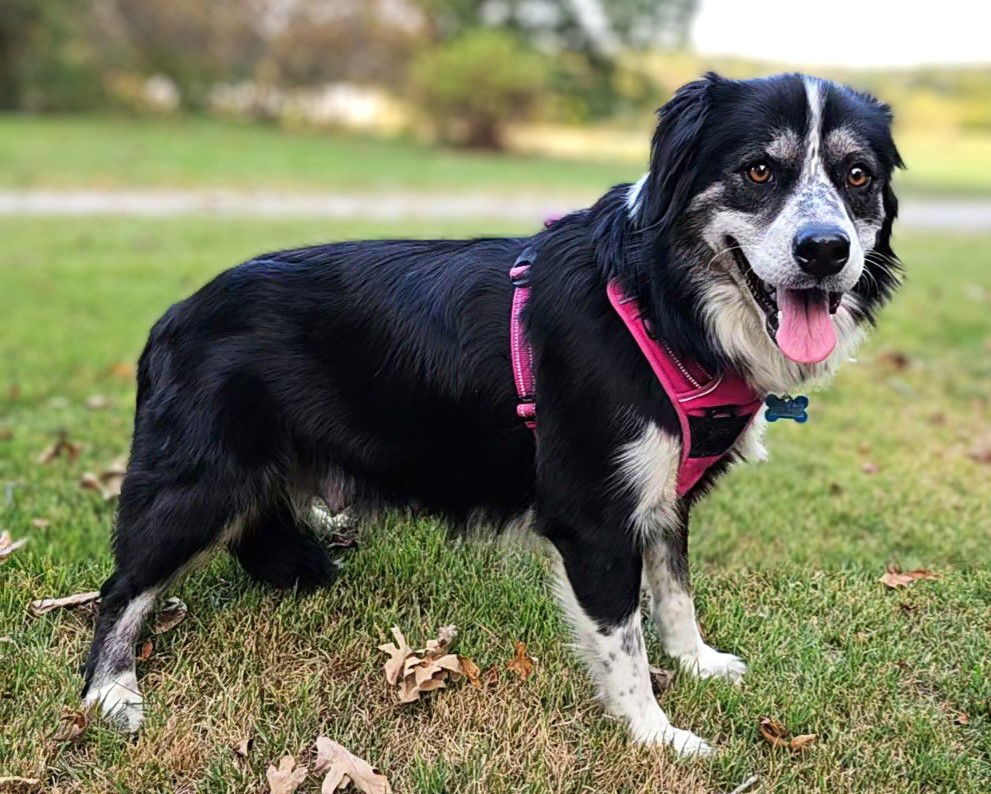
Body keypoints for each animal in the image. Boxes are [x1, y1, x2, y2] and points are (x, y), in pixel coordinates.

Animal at [81, 72, 904, 748]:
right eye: (758, 170)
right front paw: (656, 736)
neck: (663, 302)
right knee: (122, 588)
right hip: (199, 482)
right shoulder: (593, 514)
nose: (825, 251)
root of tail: (175, 316)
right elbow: (624, 642)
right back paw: (109, 692)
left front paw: (697, 662)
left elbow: (675, 594)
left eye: (856, 176)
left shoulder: (661, 497)